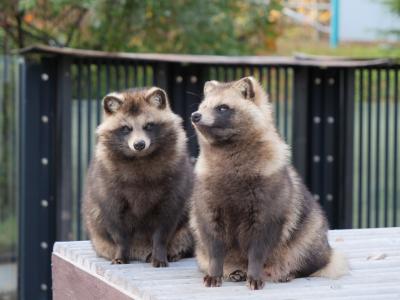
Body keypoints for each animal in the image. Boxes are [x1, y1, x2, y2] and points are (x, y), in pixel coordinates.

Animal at [82, 87, 193, 268]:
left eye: (148, 125)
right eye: (126, 128)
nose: (139, 144)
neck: (140, 158)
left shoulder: (175, 185)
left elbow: (165, 225)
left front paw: (160, 253)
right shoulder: (108, 189)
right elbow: (116, 225)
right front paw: (121, 252)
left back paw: (175, 252)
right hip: (98, 236)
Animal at [189, 77, 348, 290]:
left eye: (222, 107)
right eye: (202, 106)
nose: (195, 116)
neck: (227, 149)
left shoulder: (269, 203)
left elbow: (259, 246)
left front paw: (255, 273)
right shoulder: (208, 200)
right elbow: (213, 241)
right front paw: (215, 271)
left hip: (310, 235)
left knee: (308, 260)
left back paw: (289, 272)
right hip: (201, 253)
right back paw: (233, 270)